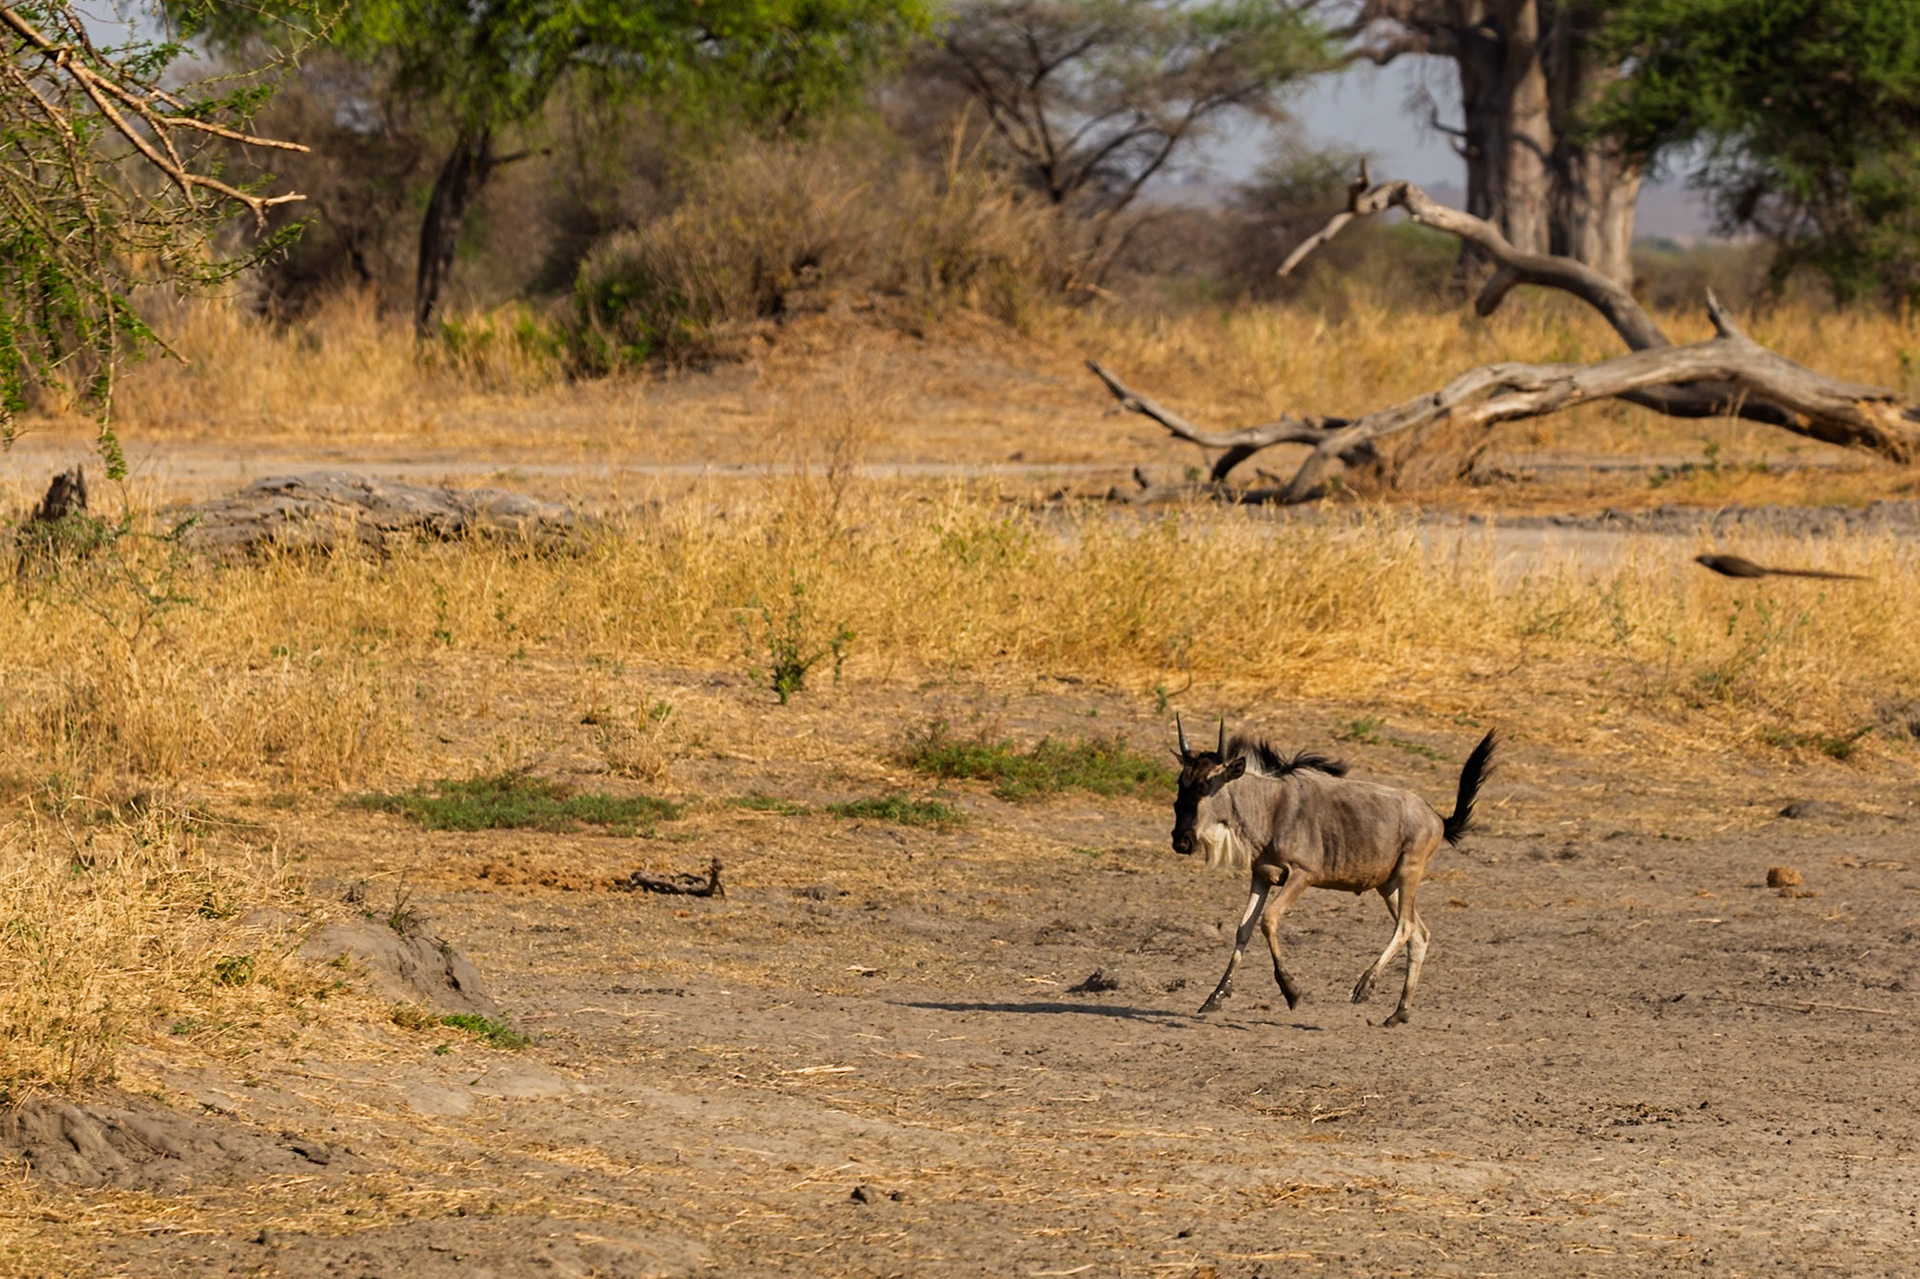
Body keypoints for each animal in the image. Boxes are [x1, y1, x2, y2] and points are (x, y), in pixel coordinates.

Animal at [1170, 717, 1497, 1026]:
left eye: (1204, 786)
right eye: (1180, 784)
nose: (1181, 841)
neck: (1270, 806)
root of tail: (1437, 817)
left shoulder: (1302, 875)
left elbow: (1268, 920)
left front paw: (1292, 992)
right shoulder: (1261, 875)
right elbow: (1243, 929)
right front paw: (1216, 996)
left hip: (1409, 872)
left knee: (1405, 927)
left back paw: (1365, 987)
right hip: (1389, 885)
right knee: (1420, 934)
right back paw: (1399, 1013)